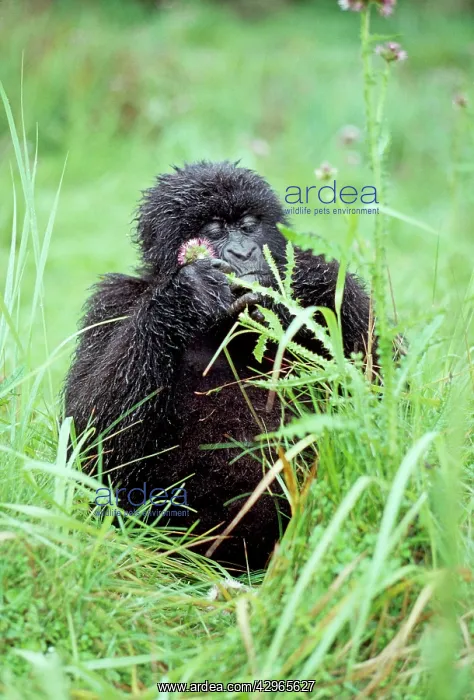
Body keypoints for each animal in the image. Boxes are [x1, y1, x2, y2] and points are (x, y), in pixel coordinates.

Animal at [64, 161, 375, 572]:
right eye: (213, 230)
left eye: (248, 225)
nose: (244, 253)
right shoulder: (112, 300)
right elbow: (90, 441)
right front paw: (185, 294)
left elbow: (387, 388)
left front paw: (298, 276)